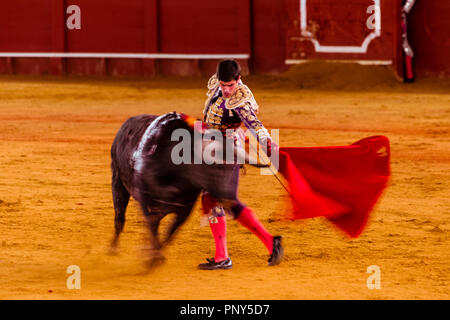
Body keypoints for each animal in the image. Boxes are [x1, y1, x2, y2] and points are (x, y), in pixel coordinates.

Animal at [109, 112, 260, 264]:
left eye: (233, 167)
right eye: (212, 166)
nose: (230, 198)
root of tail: (127, 123)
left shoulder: (184, 210)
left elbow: (169, 233)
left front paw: (155, 256)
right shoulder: (147, 202)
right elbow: (153, 229)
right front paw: (152, 258)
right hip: (117, 182)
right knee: (119, 217)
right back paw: (113, 249)